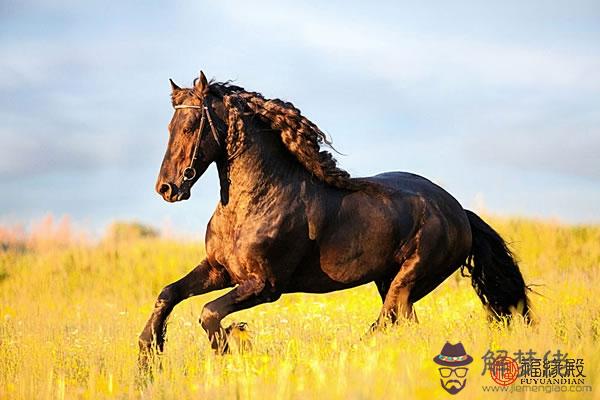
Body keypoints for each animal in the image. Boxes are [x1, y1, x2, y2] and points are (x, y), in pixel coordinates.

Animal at [137, 72, 528, 360]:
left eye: (191, 125)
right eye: (169, 128)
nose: (167, 188)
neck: (254, 203)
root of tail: (458, 210)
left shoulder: (265, 286)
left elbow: (209, 313)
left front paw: (235, 343)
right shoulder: (220, 270)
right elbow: (168, 294)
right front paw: (149, 353)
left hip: (409, 279)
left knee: (387, 320)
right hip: (389, 280)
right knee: (402, 323)